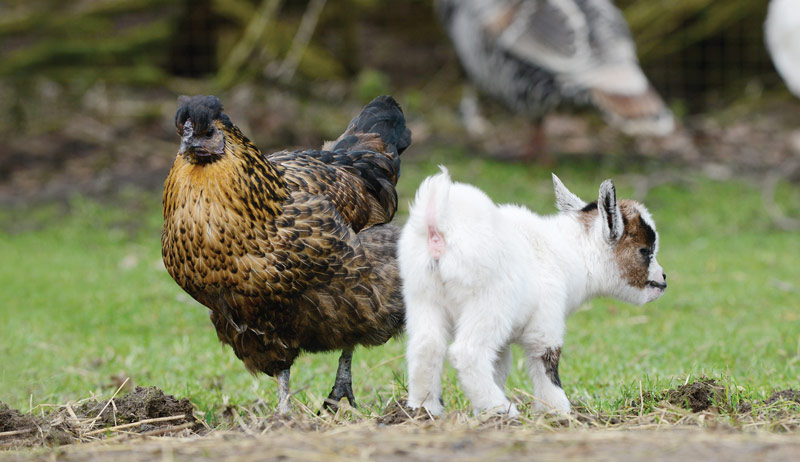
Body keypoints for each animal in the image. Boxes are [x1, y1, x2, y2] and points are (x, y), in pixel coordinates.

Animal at [398, 168, 667, 416]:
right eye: (644, 250)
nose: (663, 279)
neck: (570, 251)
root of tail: (438, 224)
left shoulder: (503, 343)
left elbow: (499, 367)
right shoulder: (546, 323)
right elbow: (546, 365)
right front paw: (558, 413)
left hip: (422, 295)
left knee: (426, 346)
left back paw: (424, 410)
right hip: (489, 302)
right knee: (467, 352)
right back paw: (502, 411)